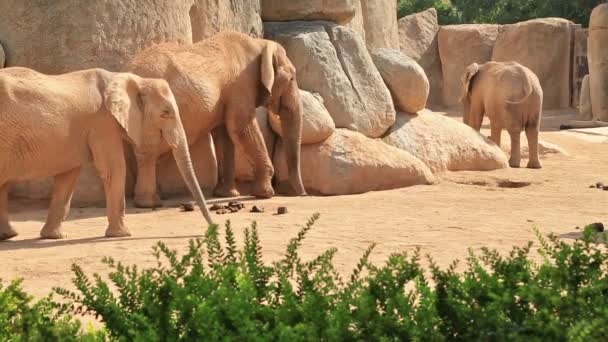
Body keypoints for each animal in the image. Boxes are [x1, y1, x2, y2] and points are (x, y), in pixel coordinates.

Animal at [0, 65, 214, 239]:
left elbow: (69, 175)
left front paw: (54, 237)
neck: (131, 79)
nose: (212, 229)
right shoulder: (103, 123)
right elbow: (114, 169)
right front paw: (122, 235)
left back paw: (9, 236)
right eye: (166, 113)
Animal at [129, 30, 308, 208]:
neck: (260, 44)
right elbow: (240, 127)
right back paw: (149, 203)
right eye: (291, 78)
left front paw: (226, 194)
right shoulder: (241, 86)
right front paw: (265, 195)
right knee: (150, 151)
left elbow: (224, 136)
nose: (302, 194)